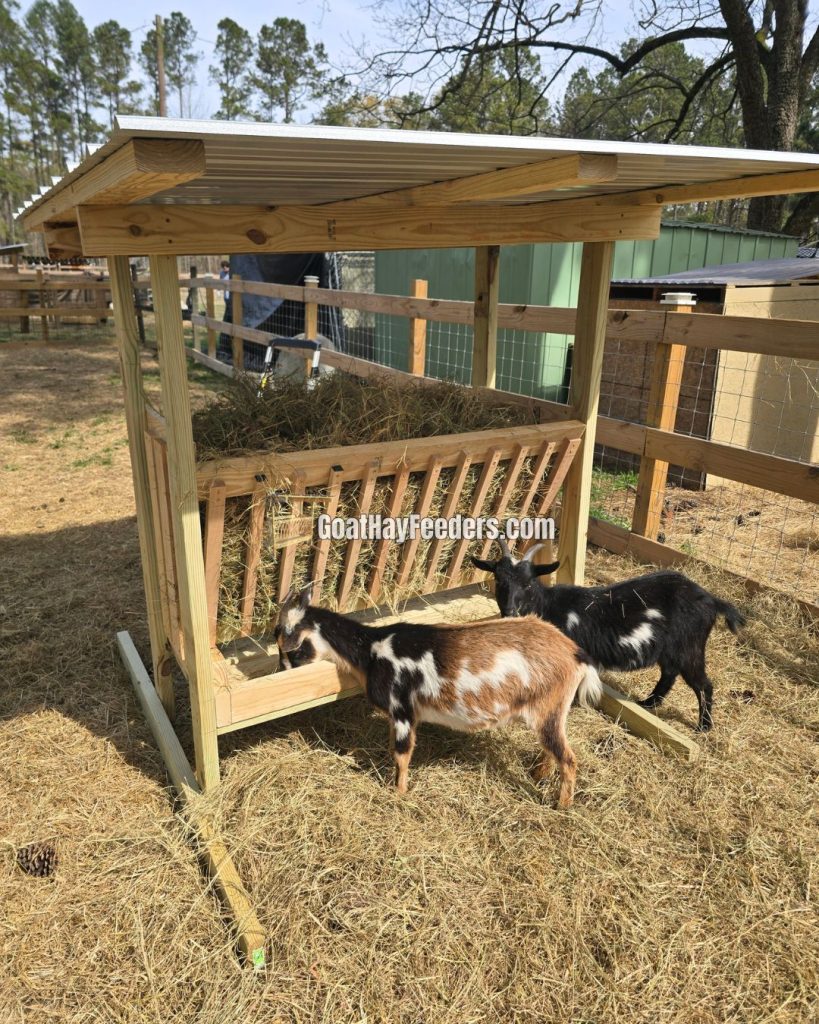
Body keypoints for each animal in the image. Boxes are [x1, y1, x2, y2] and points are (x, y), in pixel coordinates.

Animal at [274, 585, 602, 807]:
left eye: (290, 644)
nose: (282, 671)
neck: (371, 649)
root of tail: (575, 654)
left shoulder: (402, 710)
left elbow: (402, 754)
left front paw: (398, 794)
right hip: (548, 711)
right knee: (553, 748)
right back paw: (539, 775)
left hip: (549, 708)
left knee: (568, 758)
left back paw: (561, 805)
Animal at [471, 541, 746, 731]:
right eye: (499, 580)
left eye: (528, 583)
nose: (510, 611)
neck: (548, 606)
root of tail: (711, 600)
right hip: (671, 649)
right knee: (669, 674)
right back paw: (648, 704)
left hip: (690, 646)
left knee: (703, 684)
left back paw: (704, 726)